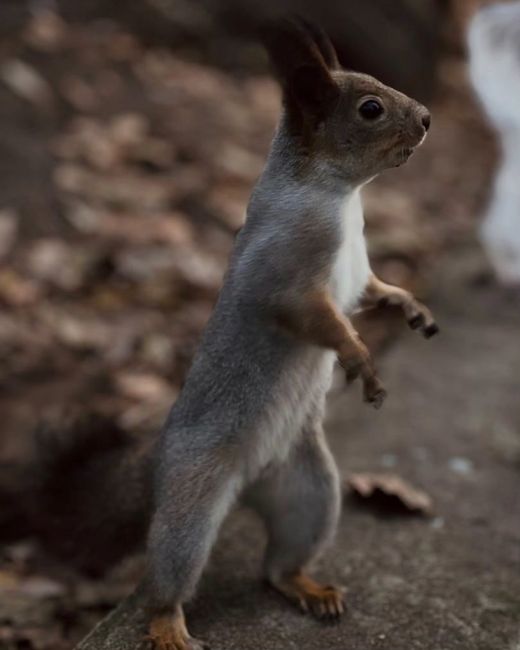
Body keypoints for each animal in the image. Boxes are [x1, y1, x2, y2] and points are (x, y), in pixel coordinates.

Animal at [138, 17, 438, 648]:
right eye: (370, 109)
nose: (427, 118)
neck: (340, 197)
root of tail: (248, 485)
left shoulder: (354, 273)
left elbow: (370, 292)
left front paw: (409, 305)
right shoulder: (285, 272)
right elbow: (312, 317)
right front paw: (361, 360)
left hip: (310, 490)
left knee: (279, 563)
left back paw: (309, 588)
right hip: (190, 500)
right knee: (169, 568)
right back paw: (168, 623)